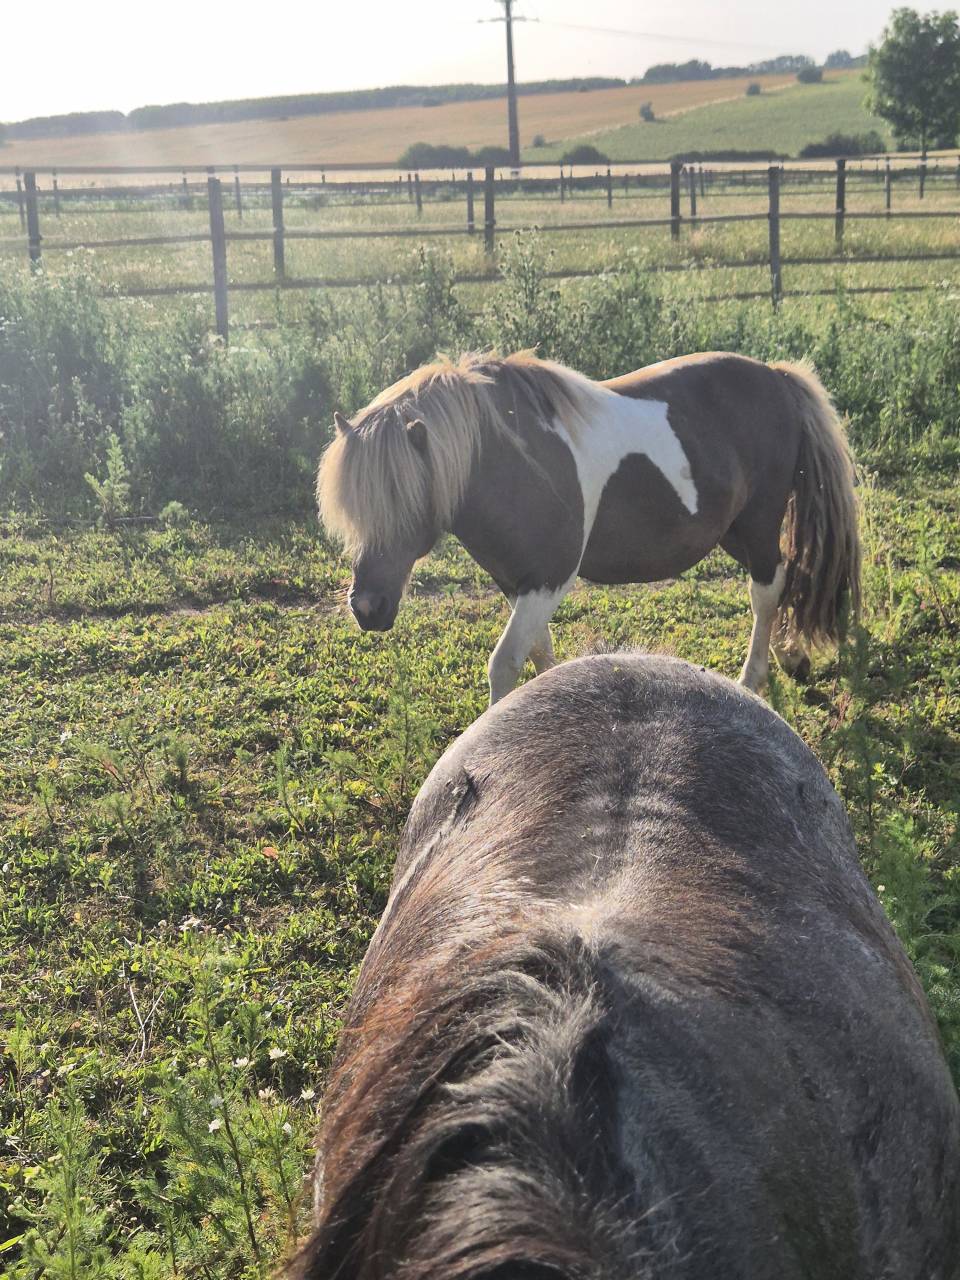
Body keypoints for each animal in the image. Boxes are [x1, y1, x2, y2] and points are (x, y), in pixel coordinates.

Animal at [317, 350, 861, 704]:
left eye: (406, 502)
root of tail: (776, 378)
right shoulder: (516, 583)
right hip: (732, 533)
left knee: (765, 593)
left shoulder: (550, 578)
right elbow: (539, 652)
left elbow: (505, 662)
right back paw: (791, 656)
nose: (367, 608)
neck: (508, 462)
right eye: (356, 510)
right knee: (785, 578)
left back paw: (751, 682)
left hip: (759, 523)